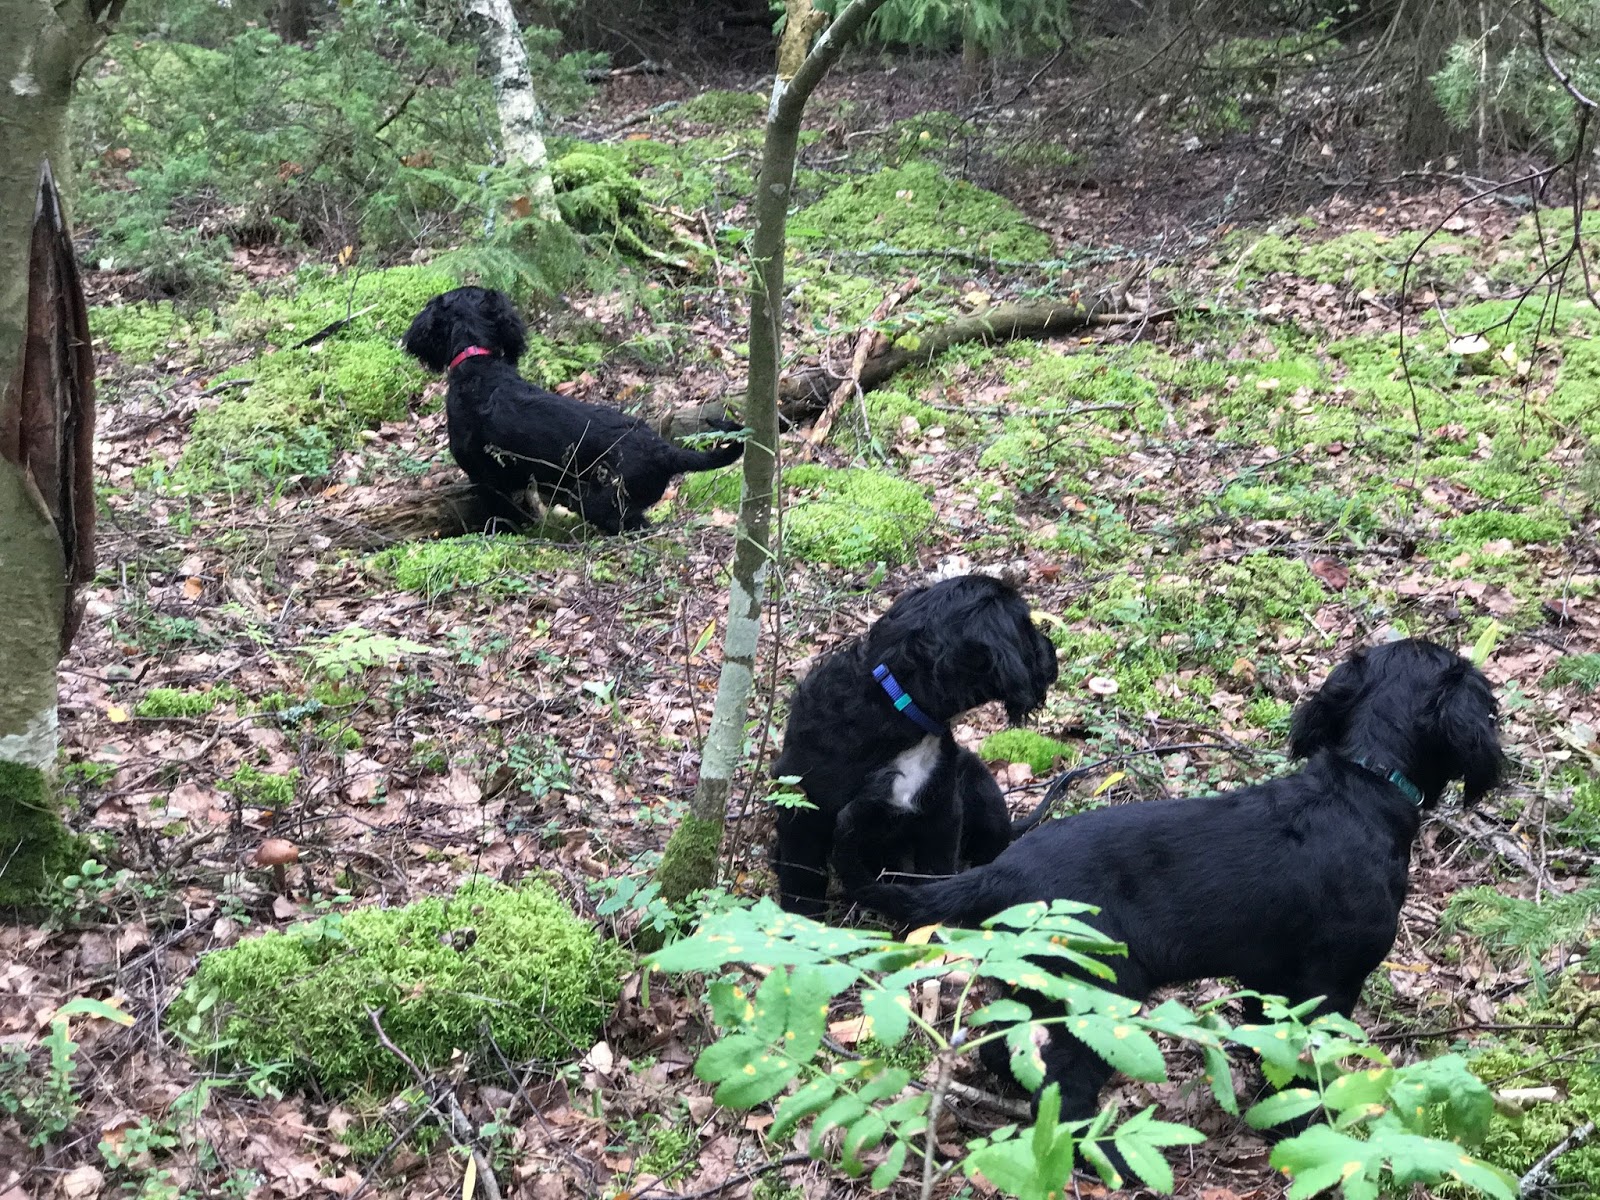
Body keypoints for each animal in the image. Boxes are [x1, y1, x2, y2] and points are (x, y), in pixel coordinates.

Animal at [771, 574, 1060, 917]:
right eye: (1025, 624)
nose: (1053, 653)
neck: (898, 711)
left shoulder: (941, 814)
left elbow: (934, 876)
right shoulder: (801, 809)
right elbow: (801, 881)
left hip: (980, 786)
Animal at [859, 638, 1503, 1160]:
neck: (1366, 783)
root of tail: (1001, 873)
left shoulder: (1272, 983)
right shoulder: (1325, 988)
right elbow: (1305, 1067)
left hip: (1035, 985)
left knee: (1009, 1049)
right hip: (1098, 997)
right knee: (1066, 1093)